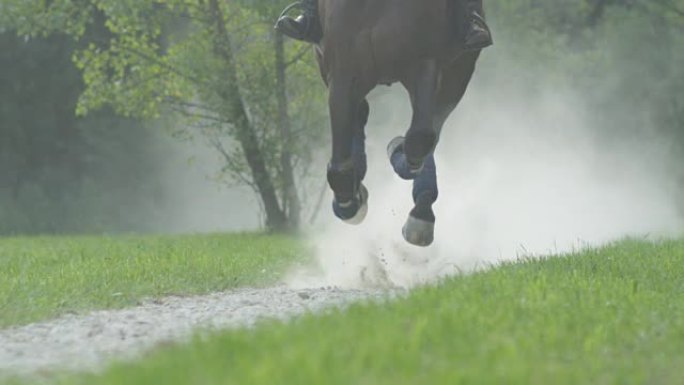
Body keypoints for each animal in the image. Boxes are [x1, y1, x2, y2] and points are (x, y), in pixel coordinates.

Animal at [316, 0, 480, 246]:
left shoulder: (425, 62)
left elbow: (419, 138)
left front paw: (396, 148)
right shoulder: (342, 71)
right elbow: (340, 164)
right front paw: (348, 202)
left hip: (457, 74)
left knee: (429, 131)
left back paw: (421, 211)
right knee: (361, 114)